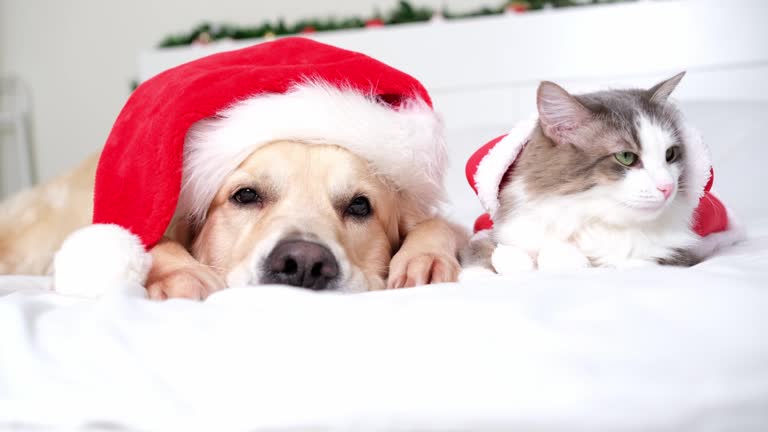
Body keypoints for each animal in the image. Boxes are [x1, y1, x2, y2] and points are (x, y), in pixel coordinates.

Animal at [0, 141, 468, 296]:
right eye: (246, 195)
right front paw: (185, 276)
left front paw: (423, 259)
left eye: (359, 206)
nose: (303, 264)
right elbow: (156, 242)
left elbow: (438, 224)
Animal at [462, 71, 708, 274]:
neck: (590, 220)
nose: (668, 187)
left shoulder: (678, 256)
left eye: (670, 154)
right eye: (626, 157)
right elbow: (483, 254)